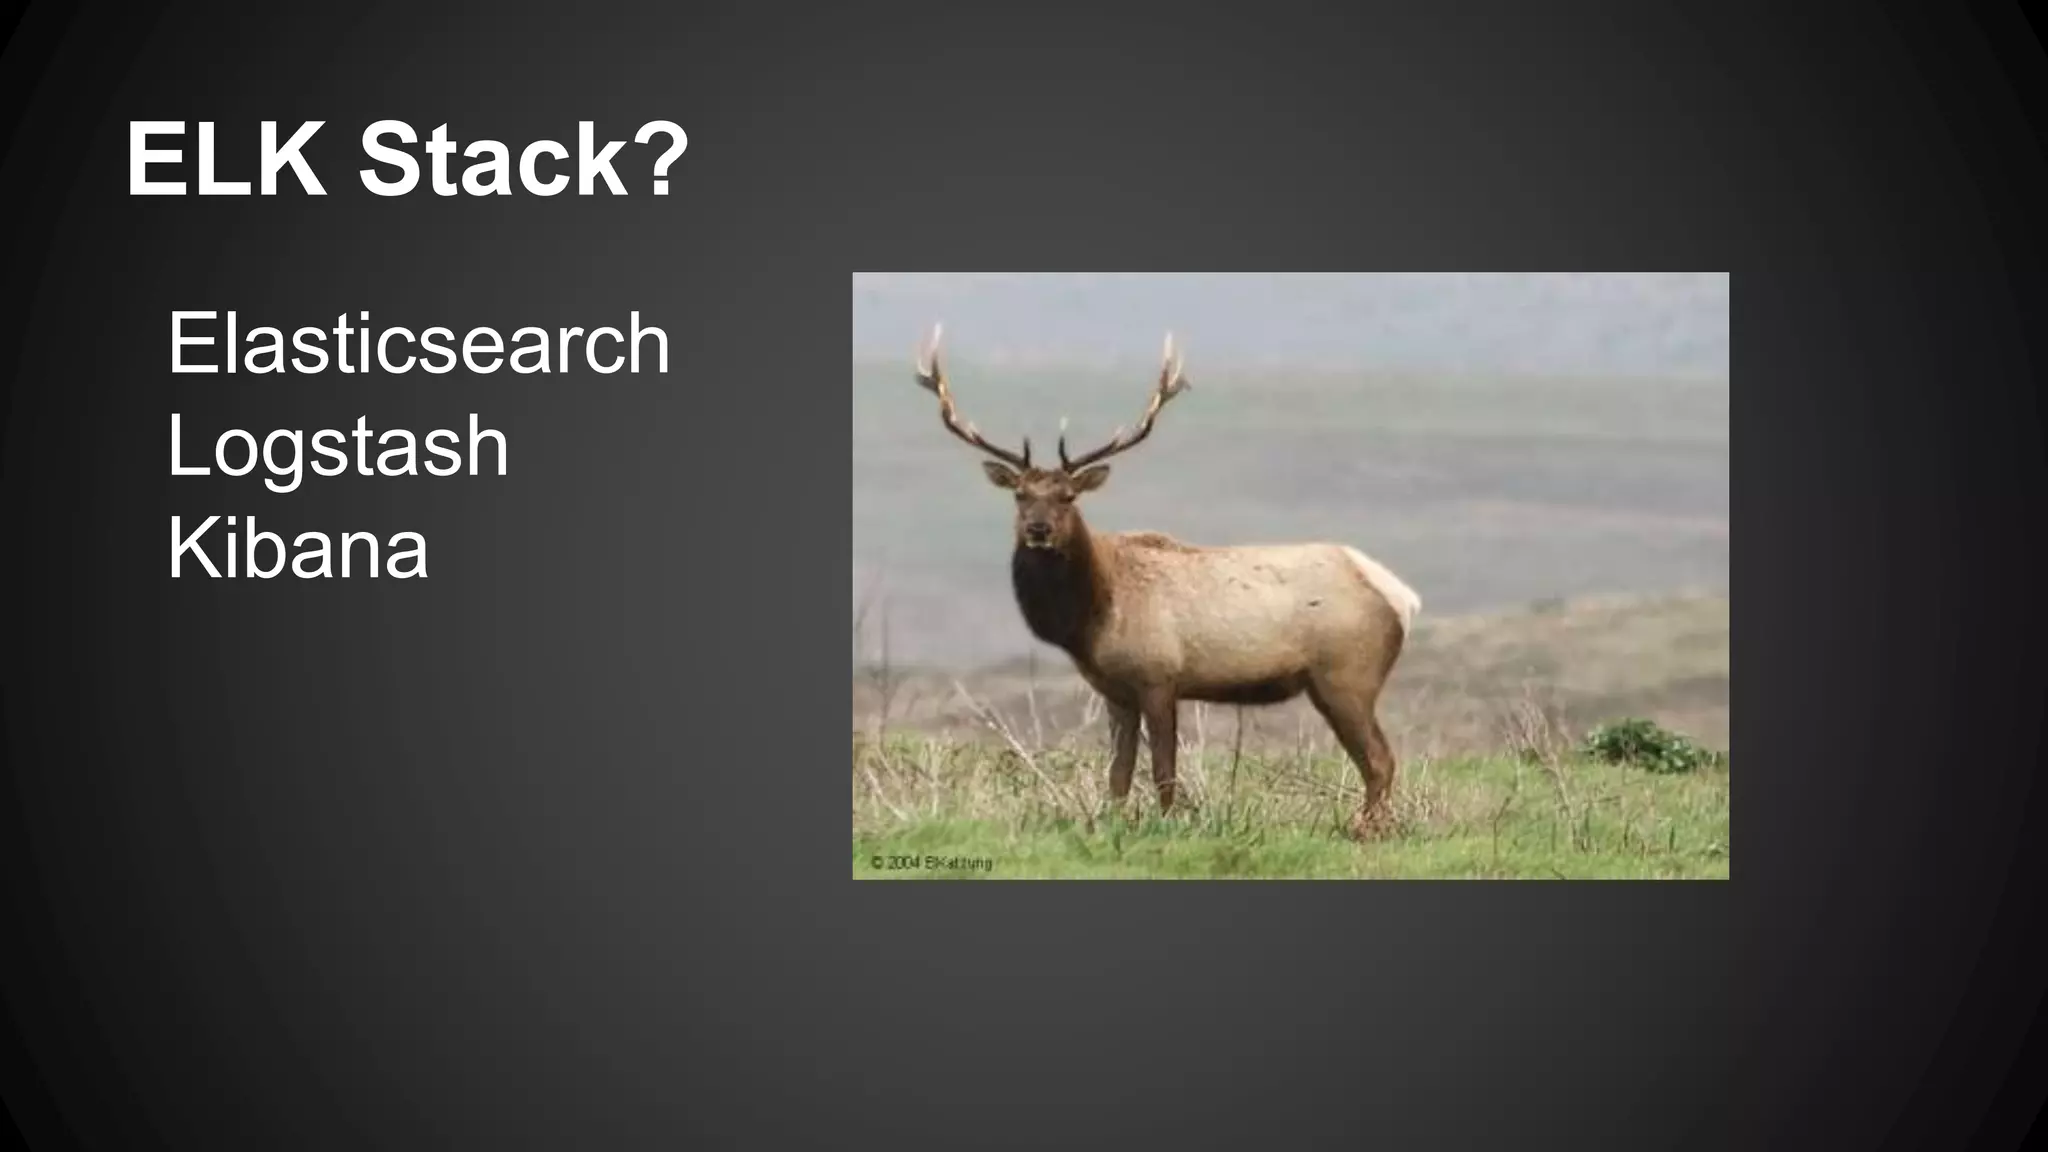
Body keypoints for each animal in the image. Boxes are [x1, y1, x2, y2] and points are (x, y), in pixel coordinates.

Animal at [912, 324, 1423, 840]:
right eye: (1020, 495)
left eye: (1068, 496)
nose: (1038, 530)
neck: (1092, 616)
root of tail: (1403, 596)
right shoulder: (1115, 690)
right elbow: (1118, 773)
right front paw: (1112, 822)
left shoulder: (1159, 675)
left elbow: (1163, 768)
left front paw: (1167, 824)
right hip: (1329, 683)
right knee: (1376, 760)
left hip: (1348, 675)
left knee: (1381, 760)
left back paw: (1367, 830)